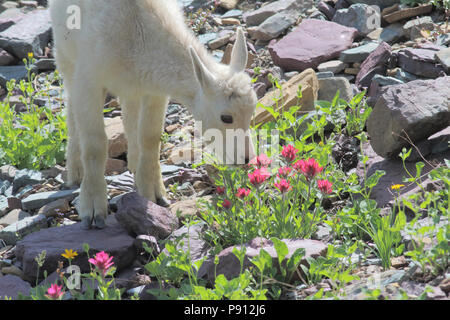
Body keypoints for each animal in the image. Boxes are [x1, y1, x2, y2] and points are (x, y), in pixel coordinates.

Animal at [49, 0, 256, 229]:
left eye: (251, 112)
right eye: (226, 117)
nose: (246, 158)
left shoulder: (155, 89)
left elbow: (150, 137)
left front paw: (154, 195)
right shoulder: (90, 78)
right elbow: (95, 144)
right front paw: (93, 210)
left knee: (130, 111)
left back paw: (134, 165)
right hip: (65, 54)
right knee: (72, 106)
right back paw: (75, 172)